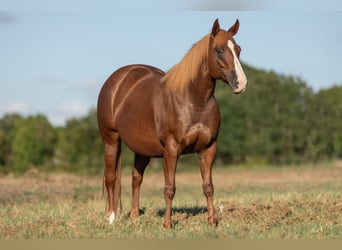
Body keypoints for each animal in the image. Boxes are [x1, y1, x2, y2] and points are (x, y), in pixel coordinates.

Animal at [97, 18, 247, 229]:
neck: (193, 101)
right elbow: (170, 188)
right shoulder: (172, 148)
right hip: (110, 140)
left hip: (142, 149)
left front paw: (211, 222)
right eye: (219, 50)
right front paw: (167, 225)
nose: (241, 83)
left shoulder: (209, 148)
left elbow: (208, 187)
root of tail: (116, 80)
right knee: (111, 177)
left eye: (238, 49)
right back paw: (111, 217)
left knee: (136, 178)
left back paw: (135, 216)